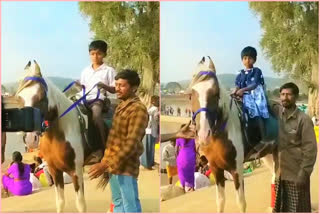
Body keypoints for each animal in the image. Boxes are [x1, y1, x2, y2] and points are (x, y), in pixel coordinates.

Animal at [190, 56, 276, 212]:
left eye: (215, 93)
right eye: (190, 95)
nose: (204, 134)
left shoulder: (237, 169)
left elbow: (241, 202)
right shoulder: (216, 169)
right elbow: (220, 201)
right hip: (267, 154)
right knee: (274, 176)